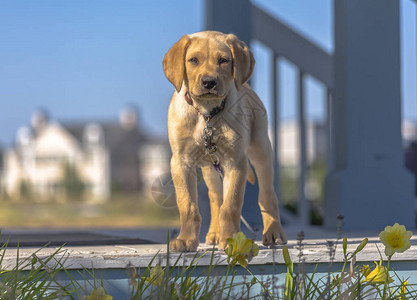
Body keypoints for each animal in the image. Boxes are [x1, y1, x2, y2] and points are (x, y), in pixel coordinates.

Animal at [163, 31, 286, 251]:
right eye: (193, 60)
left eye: (223, 60)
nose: (209, 82)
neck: (206, 114)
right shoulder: (180, 162)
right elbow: (188, 205)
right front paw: (186, 239)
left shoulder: (235, 162)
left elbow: (231, 205)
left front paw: (231, 240)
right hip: (210, 169)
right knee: (216, 198)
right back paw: (214, 233)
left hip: (261, 150)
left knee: (267, 195)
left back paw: (273, 232)